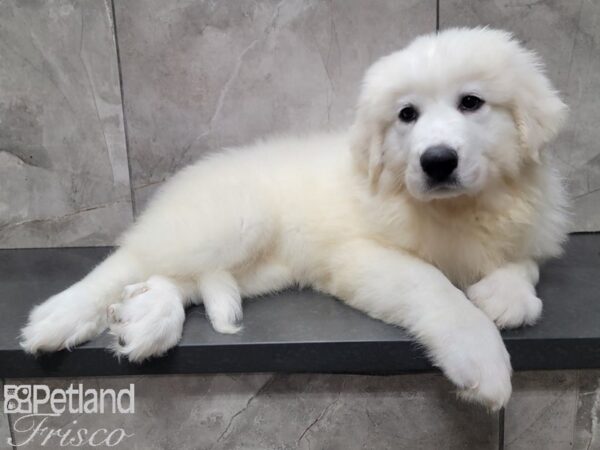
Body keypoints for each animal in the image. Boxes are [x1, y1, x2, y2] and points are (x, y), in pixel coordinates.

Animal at [21, 26, 568, 410]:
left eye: (472, 102)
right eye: (406, 114)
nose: (437, 161)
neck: (457, 208)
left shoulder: (529, 224)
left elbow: (526, 261)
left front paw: (507, 296)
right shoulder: (361, 255)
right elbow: (433, 286)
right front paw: (482, 357)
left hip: (260, 269)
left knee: (179, 278)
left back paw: (147, 318)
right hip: (236, 220)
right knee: (132, 258)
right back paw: (60, 317)